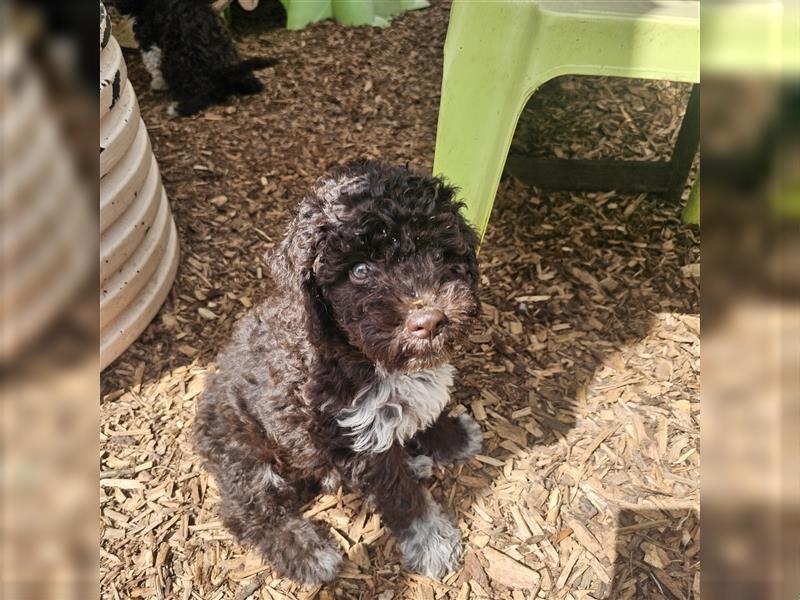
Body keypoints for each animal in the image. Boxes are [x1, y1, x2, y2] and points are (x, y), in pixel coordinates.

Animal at [114, 0, 278, 116]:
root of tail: (222, 71)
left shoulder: (147, 35)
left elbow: (152, 61)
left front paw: (157, 84)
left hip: (172, 64)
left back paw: (180, 107)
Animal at [195, 162, 482, 584]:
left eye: (436, 250)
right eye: (360, 269)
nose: (429, 321)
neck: (367, 358)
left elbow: (428, 414)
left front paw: (452, 436)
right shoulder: (356, 439)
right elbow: (399, 495)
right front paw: (430, 539)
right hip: (245, 452)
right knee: (248, 511)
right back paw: (305, 551)